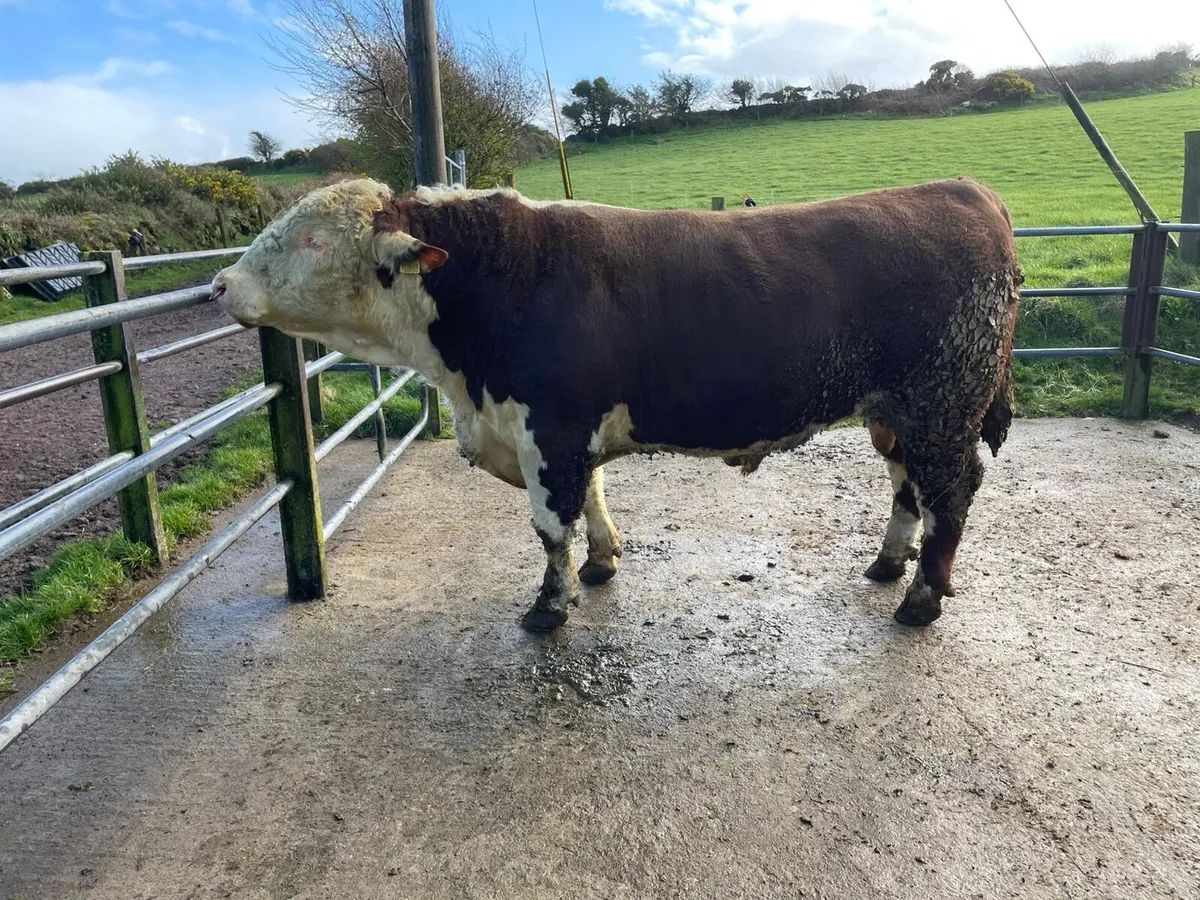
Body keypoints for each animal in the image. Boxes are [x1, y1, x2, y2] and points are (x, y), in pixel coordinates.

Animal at [211, 176, 1021, 634]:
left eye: (313, 240)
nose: (219, 284)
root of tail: (964, 189)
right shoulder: (562, 430)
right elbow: (593, 498)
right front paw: (601, 561)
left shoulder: (552, 425)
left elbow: (549, 527)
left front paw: (549, 607)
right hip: (897, 410)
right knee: (908, 486)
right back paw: (888, 563)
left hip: (945, 402)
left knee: (952, 496)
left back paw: (921, 599)